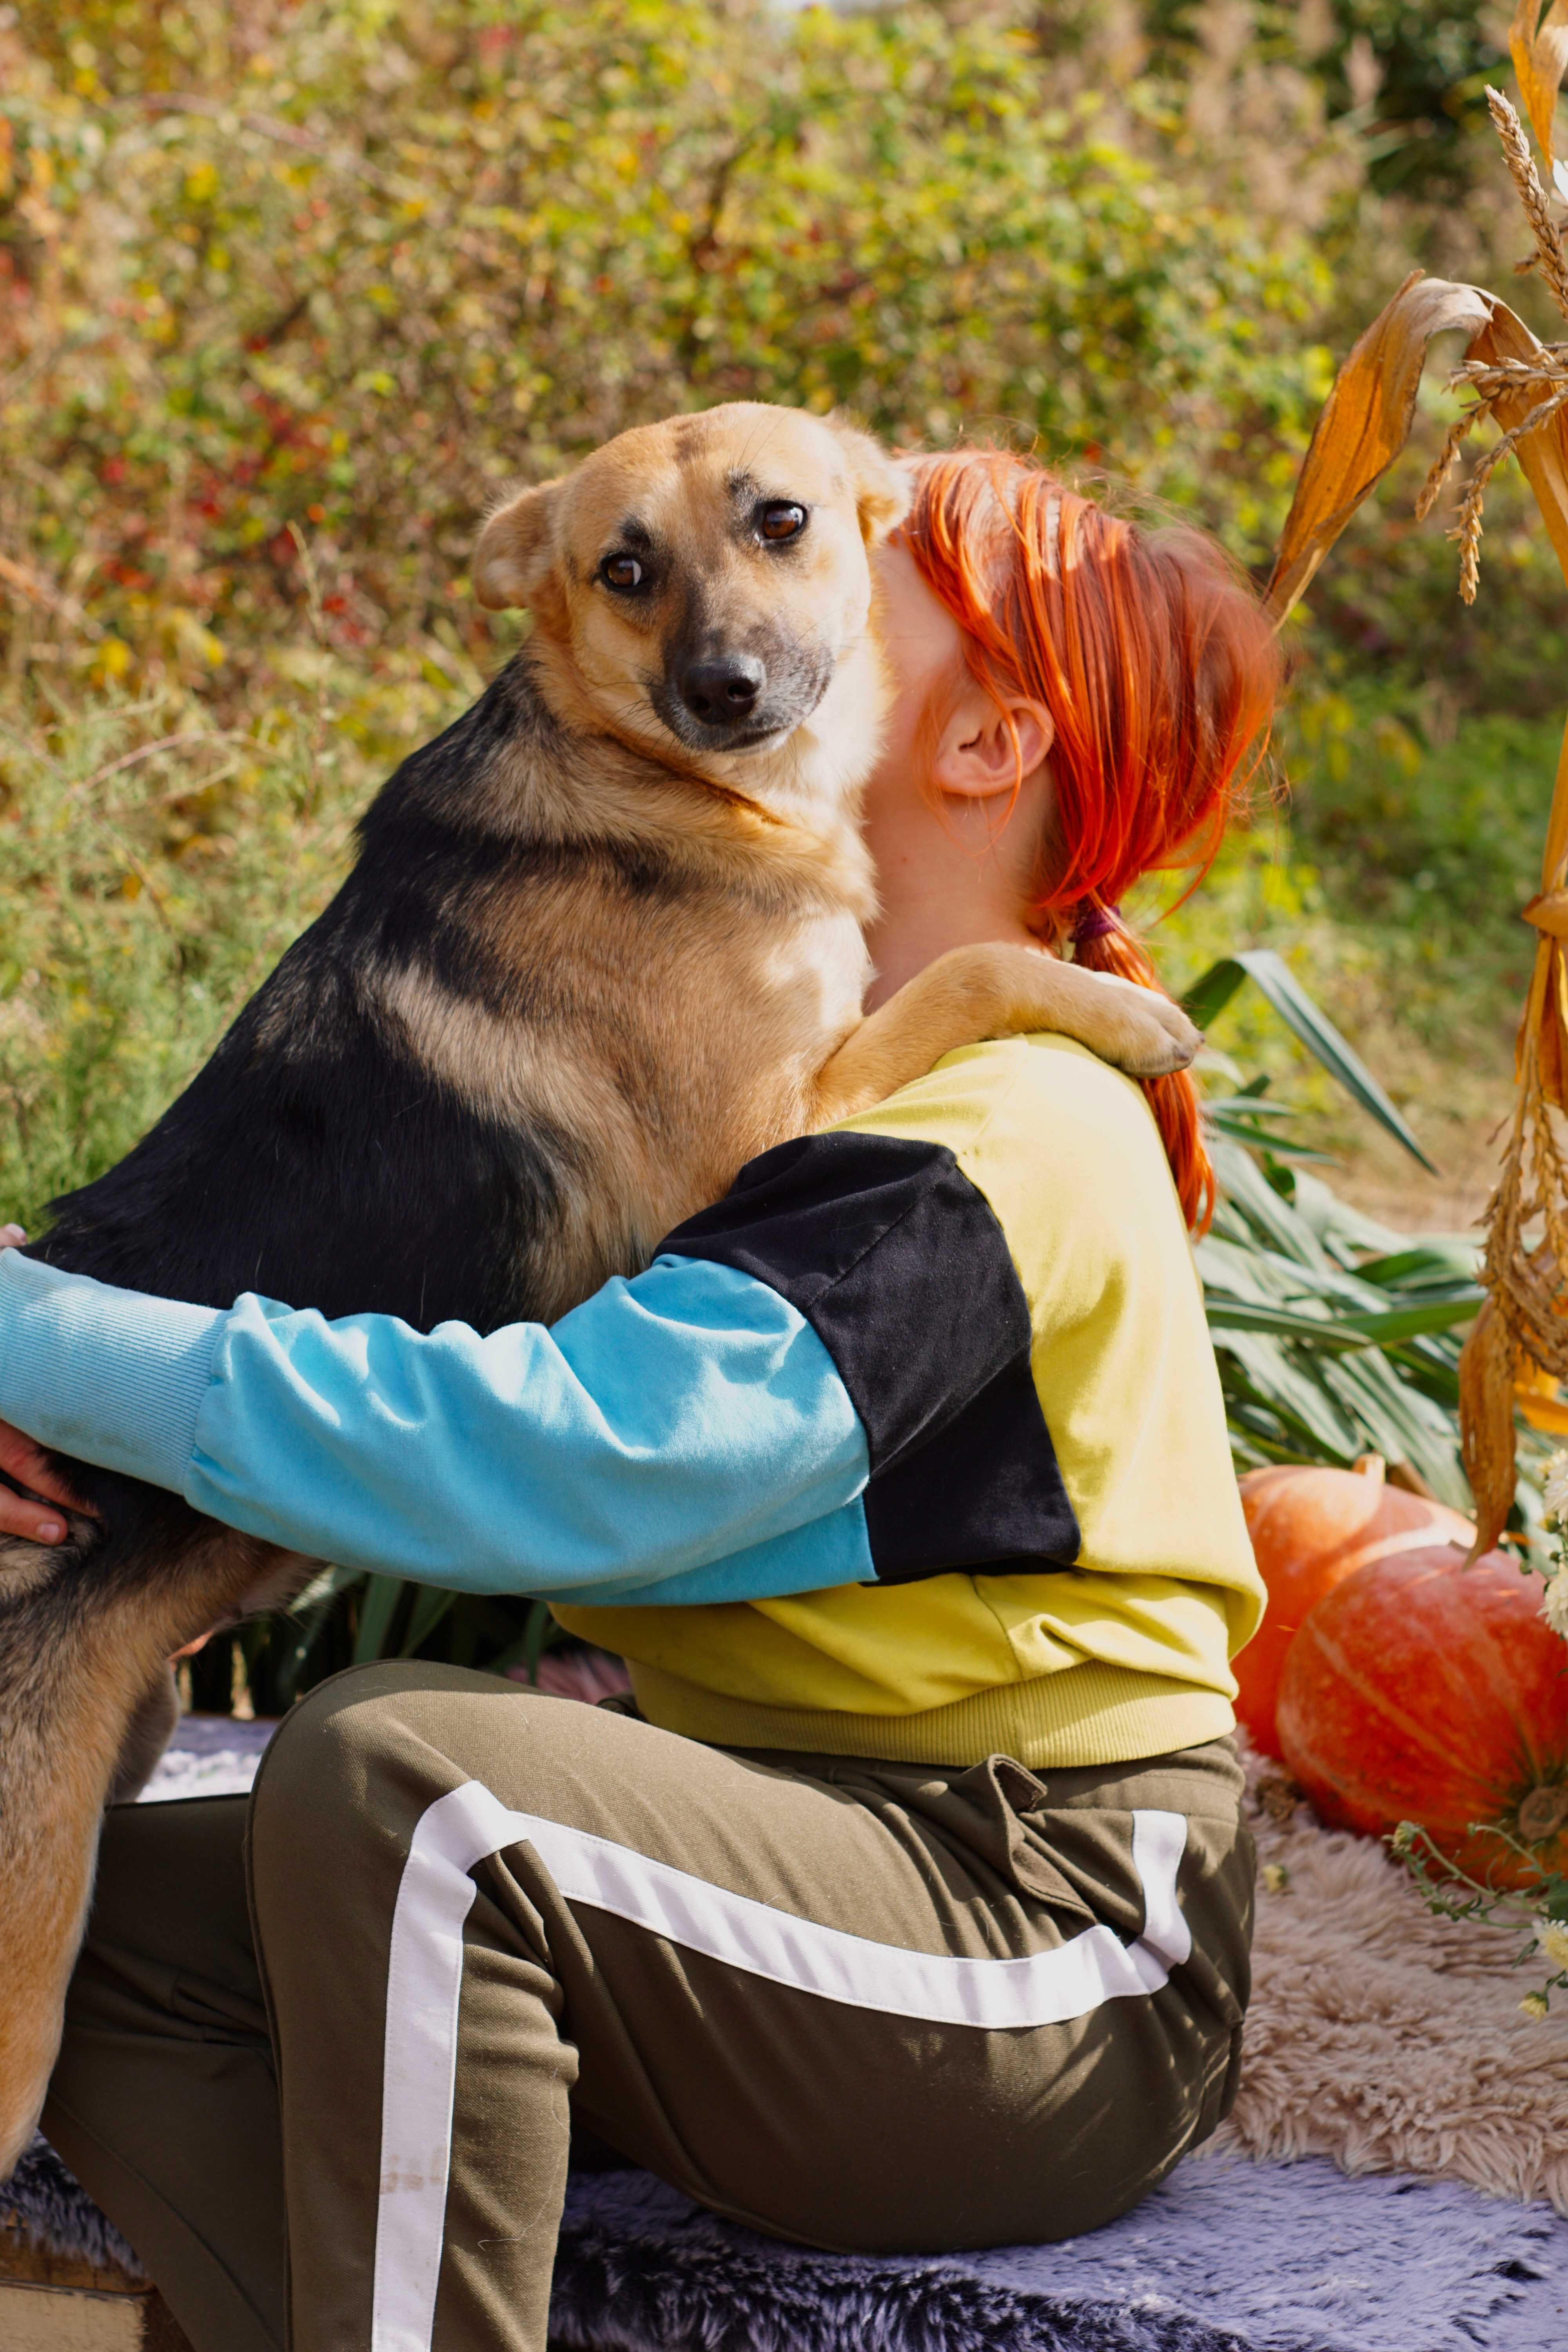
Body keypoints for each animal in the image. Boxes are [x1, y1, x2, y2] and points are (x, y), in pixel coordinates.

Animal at [0, 400, 1194, 2164]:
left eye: (781, 521)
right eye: (624, 571)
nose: (727, 692)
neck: (667, 787)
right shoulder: (753, 1142)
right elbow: (978, 968)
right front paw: (1114, 1008)